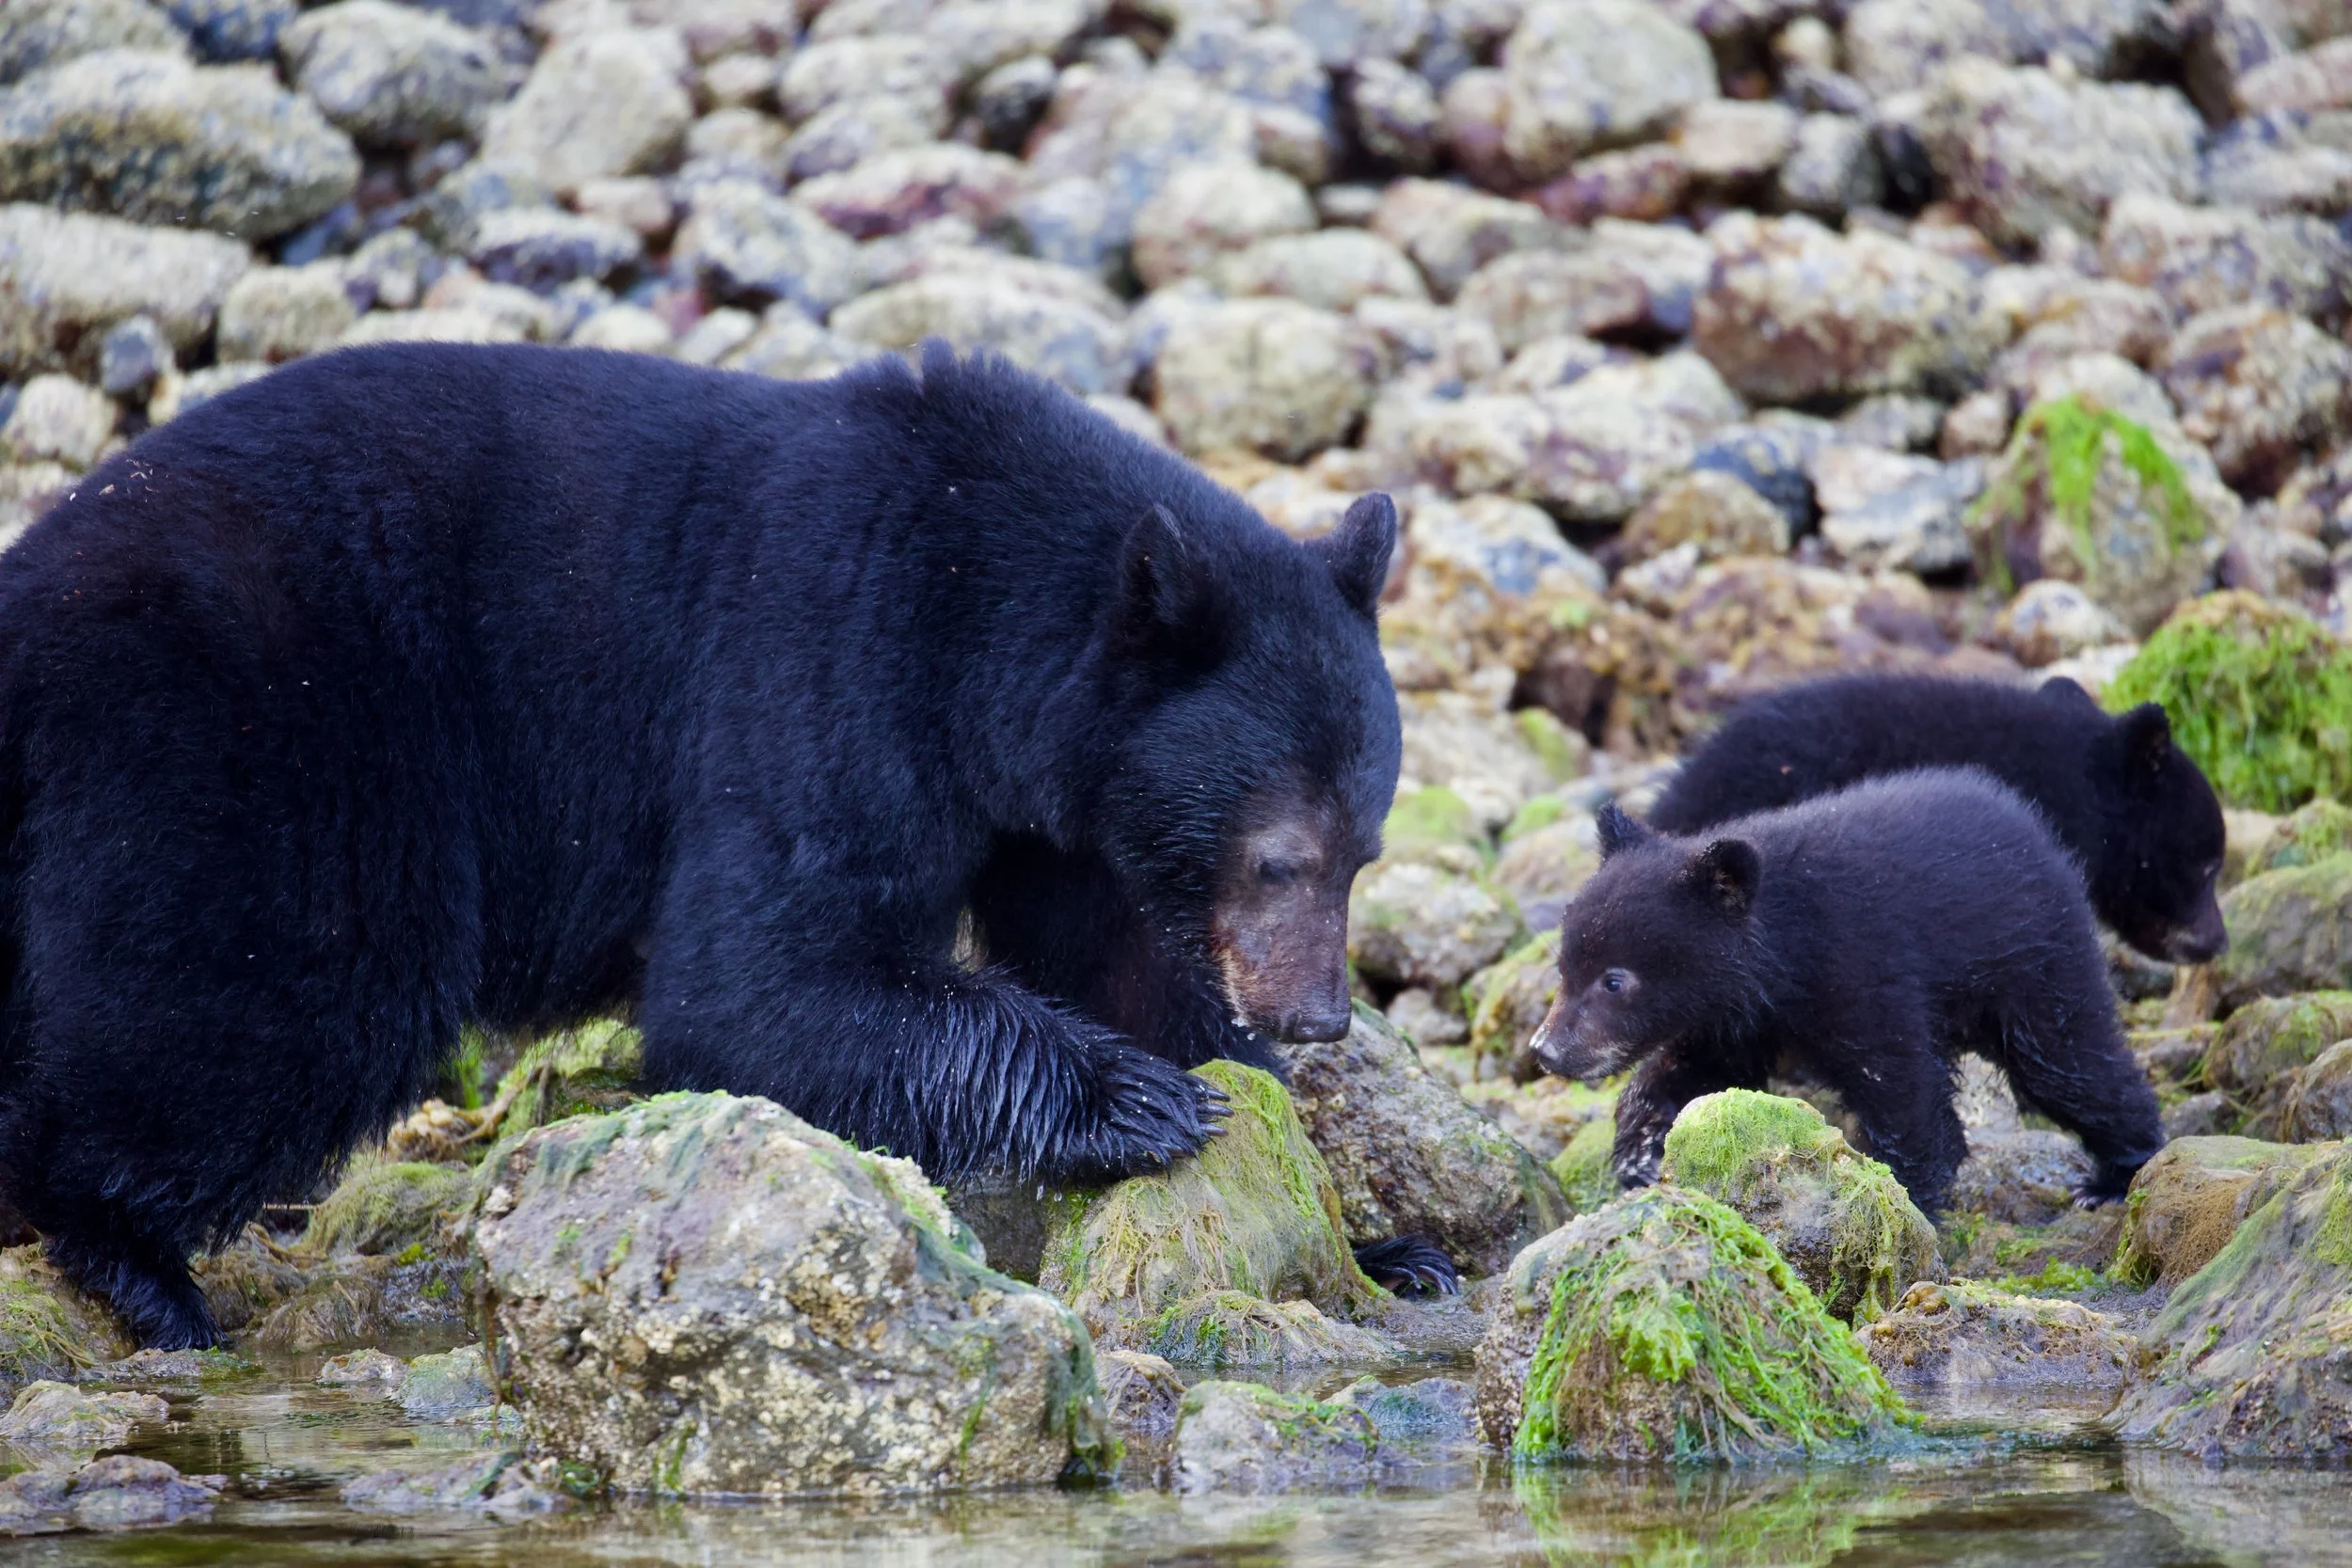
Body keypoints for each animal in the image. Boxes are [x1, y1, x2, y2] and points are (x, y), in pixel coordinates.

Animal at [0, 341, 1423, 1347]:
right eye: (1280, 853)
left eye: (1363, 850)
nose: (1319, 1016)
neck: (974, 592)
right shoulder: (823, 657)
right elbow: (756, 981)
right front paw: (1138, 1099)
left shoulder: (1065, 803)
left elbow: (1121, 955)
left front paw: (1375, 1238)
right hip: (266, 732)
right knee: (280, 991)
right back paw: (136, 1263)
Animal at [1530, 769, 2166, 1212]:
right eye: (1563, 968)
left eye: (1615, 980)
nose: (1545, 1050)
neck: (1784, 958)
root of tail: (2039, 830)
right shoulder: (1731, 1017)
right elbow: (1692, 1074)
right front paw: (1639, 1154)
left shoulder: (1863, 968)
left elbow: (1899, 1087)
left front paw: (1906, 1200)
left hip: (2034, 962)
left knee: (2070, 1064)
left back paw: (2116, 1176)